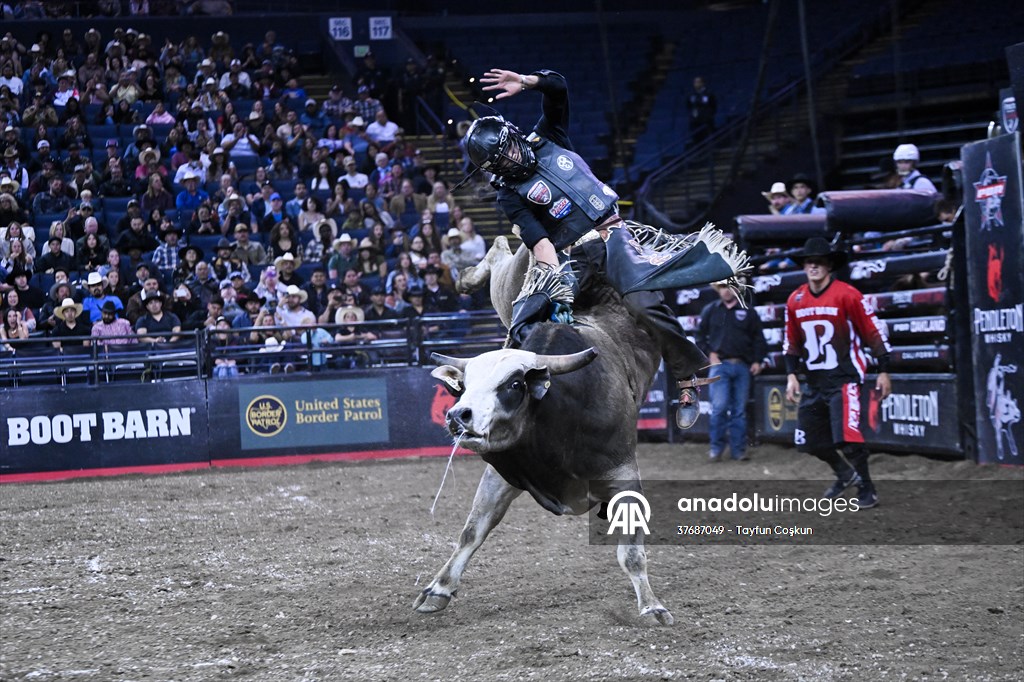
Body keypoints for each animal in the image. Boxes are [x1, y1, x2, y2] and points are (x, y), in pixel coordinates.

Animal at [414, 235, 674, 624]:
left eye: (514, 384)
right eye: (463, 386)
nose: (458, 415)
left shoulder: (624, 473)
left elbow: (630, 552)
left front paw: (652, 606)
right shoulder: (502, 473)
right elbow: (473, 530)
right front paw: (438, 589)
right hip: (511, 280)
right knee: (500, 253)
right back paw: (468, 277)